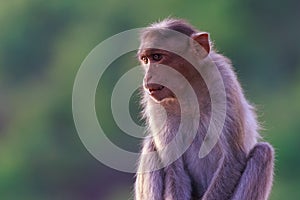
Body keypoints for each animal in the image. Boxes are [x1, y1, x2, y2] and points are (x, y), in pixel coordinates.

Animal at [134, 18, 274, 199]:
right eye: (146, 59)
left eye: (157, 57)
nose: (148, 76)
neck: (188, 88)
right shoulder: (156, 102)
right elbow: (174, 169)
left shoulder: (223, 80)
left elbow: (232, 160)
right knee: (151, 144)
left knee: (263, 152)